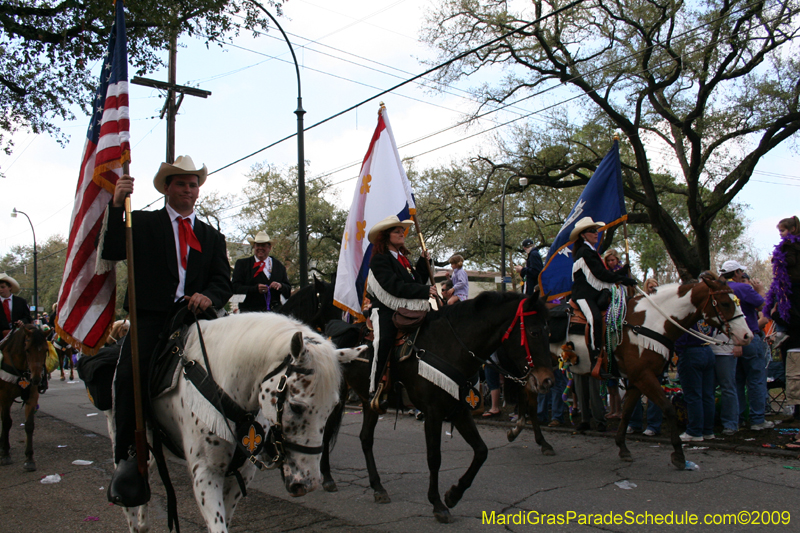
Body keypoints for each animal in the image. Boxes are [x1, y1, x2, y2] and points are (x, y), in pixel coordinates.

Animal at [0, 324, 50, 470]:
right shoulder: (5, 396)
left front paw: (29, 458)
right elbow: (7, 422)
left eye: (46, 350)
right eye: (27, 350)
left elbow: (29, 425)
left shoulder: (32, 396)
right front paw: (5, 453)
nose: (37, 379)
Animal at [510, 276, 752, 468]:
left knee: (528, 399)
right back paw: (534, 437)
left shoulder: (639, 378)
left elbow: (627, 411)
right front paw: (679, 455)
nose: (747, 336)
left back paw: (529, 435)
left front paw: (623, 447)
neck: (652, 322)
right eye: (725, 303)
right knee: (529, 401)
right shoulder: (644, 376)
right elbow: (668, 409)